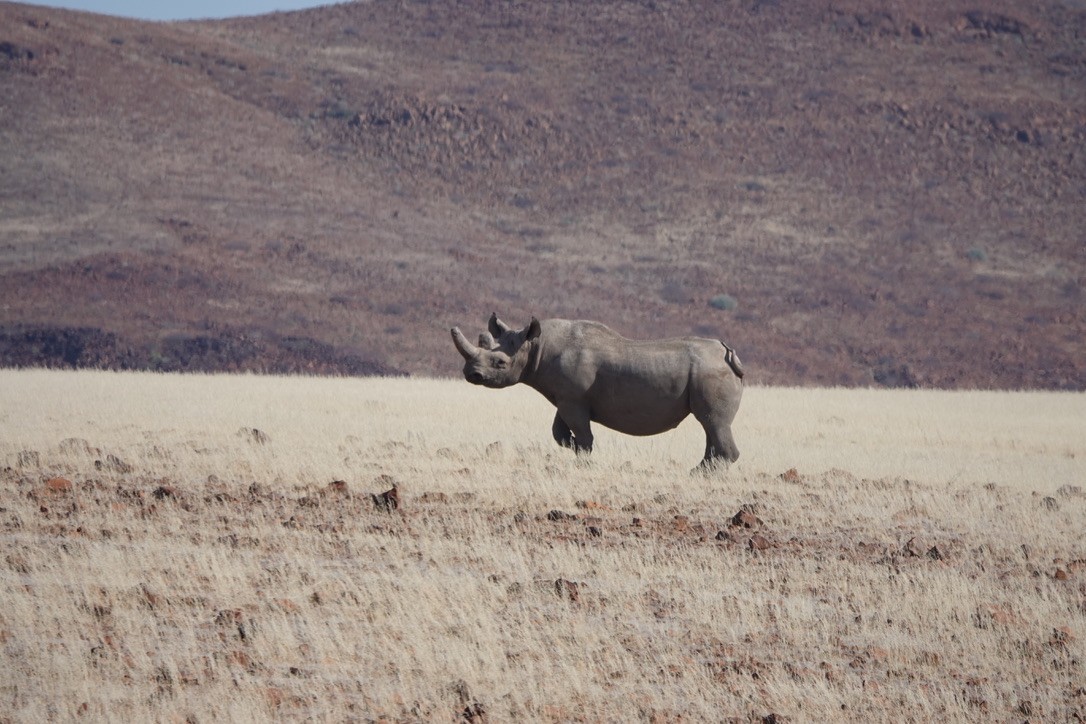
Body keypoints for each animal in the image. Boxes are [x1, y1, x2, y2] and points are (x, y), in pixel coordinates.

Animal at [451, 314, 744, 468]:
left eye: (500, 363)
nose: (471, 374)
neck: (536, 346)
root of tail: (729, 356)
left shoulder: (573, 399)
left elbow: (582, 433)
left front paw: (583, 457)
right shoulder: (566, 397)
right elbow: (558, 431)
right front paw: (571, 446)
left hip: (709, 373)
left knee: (713, 422)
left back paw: (701, 473)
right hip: (708, 372)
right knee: (710, 425)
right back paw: (700, 470)